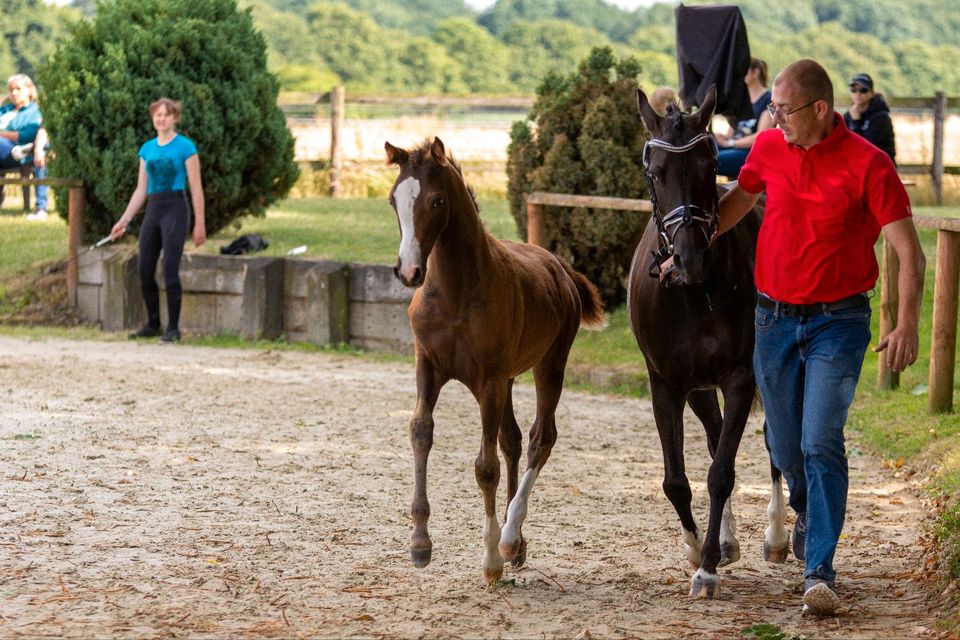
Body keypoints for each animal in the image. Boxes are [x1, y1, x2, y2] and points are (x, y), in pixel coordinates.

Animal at [384, 138, 604, 584]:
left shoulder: (486, 381)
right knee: (513, 440)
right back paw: (517, 544)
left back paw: (509, 537)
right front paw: (420, 543)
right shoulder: (428, 367)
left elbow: (485, 467)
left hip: (548, 366)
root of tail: (560, 268)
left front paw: (490, 559)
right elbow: (421, 432)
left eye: (436, 201)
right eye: (393, 200)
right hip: (508, 381)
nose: (409, 271)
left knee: (540, 438)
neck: (456, 292)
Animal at [632, 87, 788, 596]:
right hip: (699, 388)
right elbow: (677, 480)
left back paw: (777, 536)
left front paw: (706, 568)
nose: (690, 257)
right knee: (718, 436)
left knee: (773, 446)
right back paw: (727, 538)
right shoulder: (667, 384)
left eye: (708, 163)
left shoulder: (740, 378)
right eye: (655, 171)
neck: (692, 291)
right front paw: (698, 546)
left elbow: (720, 473)